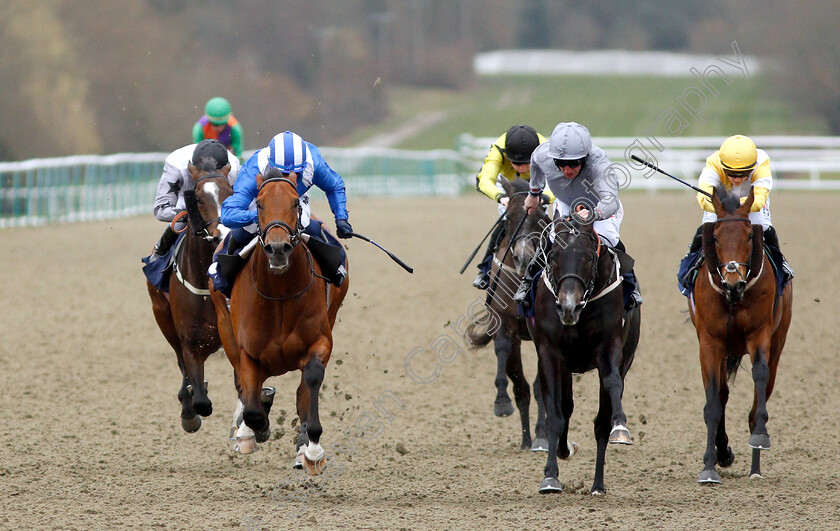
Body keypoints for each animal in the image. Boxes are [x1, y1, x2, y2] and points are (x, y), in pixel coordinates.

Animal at [146, 158, 235, 432]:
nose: (222, 233)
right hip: (164, 320)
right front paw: (191, 411)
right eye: (197, 198)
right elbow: (201, 401)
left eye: (231, 190)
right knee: (181, 365)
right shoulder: (189, 341)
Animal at [213, 167, 352, 474]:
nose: (278, 249)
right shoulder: (247, 352)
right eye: (259, 204)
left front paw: (311, 449)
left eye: (296, 202)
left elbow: (309, 383)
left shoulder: (320, 342)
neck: (279, 293)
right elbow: (252, 407)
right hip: (224, 327)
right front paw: (255, 429)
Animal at [466, 179, 552, 454]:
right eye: (510, 217)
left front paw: (542, 436)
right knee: (521, 386)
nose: (523, 257)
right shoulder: (504, 324)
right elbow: (510, 366)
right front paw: (501, 402)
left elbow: (540, 387)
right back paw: (526, 439)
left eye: (540, 216)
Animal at [528, 215, 640, 494]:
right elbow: (555, 414)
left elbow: (612, 386)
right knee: (565, 407)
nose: (569, 306)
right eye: (553, 255)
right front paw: (550, 476)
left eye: (589, 256)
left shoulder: (610, 348)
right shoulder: (549, 353)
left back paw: (598, 484)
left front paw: (620, 427)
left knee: (600, 421)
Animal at [688, 185, 796, 484]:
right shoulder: (709, 342)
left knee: (762, 392)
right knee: (722, 394)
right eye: (715, 236)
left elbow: (759, 376)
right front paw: (710, 465)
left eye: (749, 235)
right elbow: (713, 402)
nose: (733, 283)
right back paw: (723, 452)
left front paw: (760, 437)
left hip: (778, 340)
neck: (732, 299)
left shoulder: (759, 333)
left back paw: (755, 467)